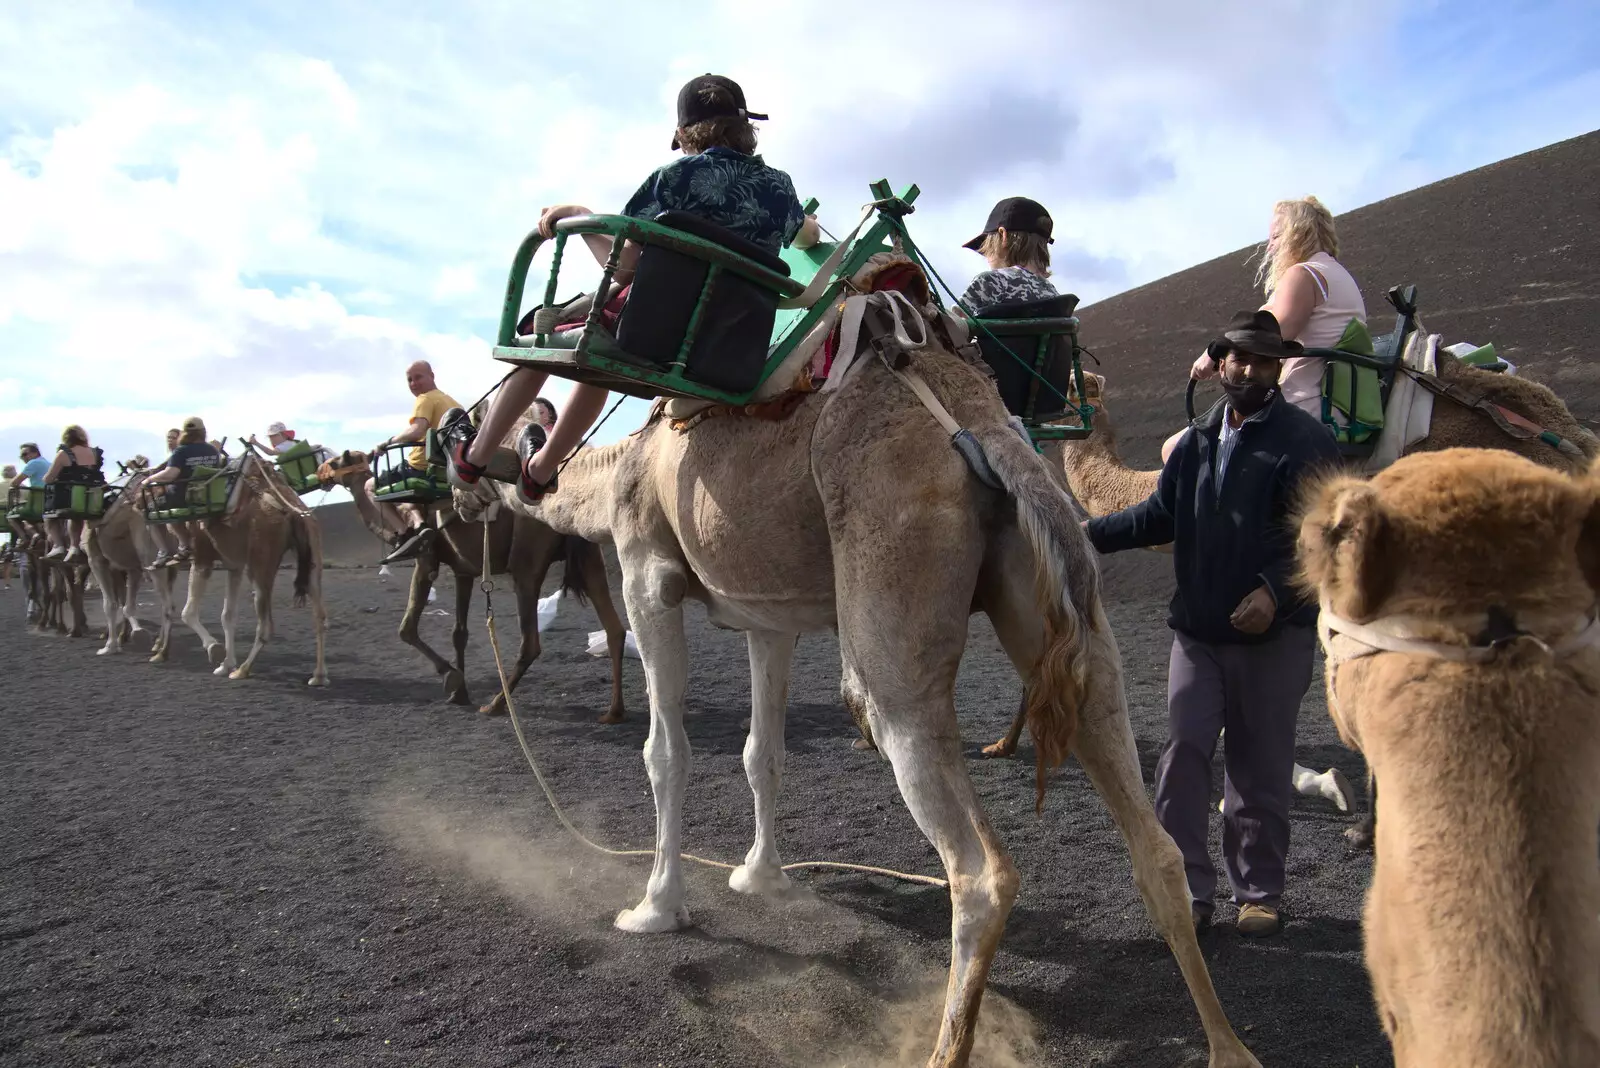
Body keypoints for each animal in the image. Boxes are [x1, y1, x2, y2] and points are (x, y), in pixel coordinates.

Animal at [160, 447, 329, 684]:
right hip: (312, 556)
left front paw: (216, 651)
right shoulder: (234, 566)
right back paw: (319, 675)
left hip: (260, 563)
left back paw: (243, 670)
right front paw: (225, 663)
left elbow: (188, 612)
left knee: (267, 625)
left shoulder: (203, 557)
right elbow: (228, 615)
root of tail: (294, 513)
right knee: (320, 616)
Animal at [321, 431, 627, 716]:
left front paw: (450, 677)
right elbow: (459, 632)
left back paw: (496, 704)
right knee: (614, 629)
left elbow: (406, 629)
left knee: (531, 643)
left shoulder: (426, 561)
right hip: (589, 555)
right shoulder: (463, 571)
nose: (322, 475)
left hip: (526, 562)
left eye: (335, 462)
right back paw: (613, 712)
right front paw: (459, 692)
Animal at [460, 289, 1260, 1068]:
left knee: (977, 865)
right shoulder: (767, 616)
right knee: (1148, 832)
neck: (621, 470)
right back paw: (1228, 1046)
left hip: (893, 607)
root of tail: (989, 436)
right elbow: (763, 753)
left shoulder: (646, 569)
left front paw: (654, 908)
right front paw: (759, 876)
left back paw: (944, 1047)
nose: (465, 479)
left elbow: (666, 754)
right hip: (1057, 599)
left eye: (466, 428)